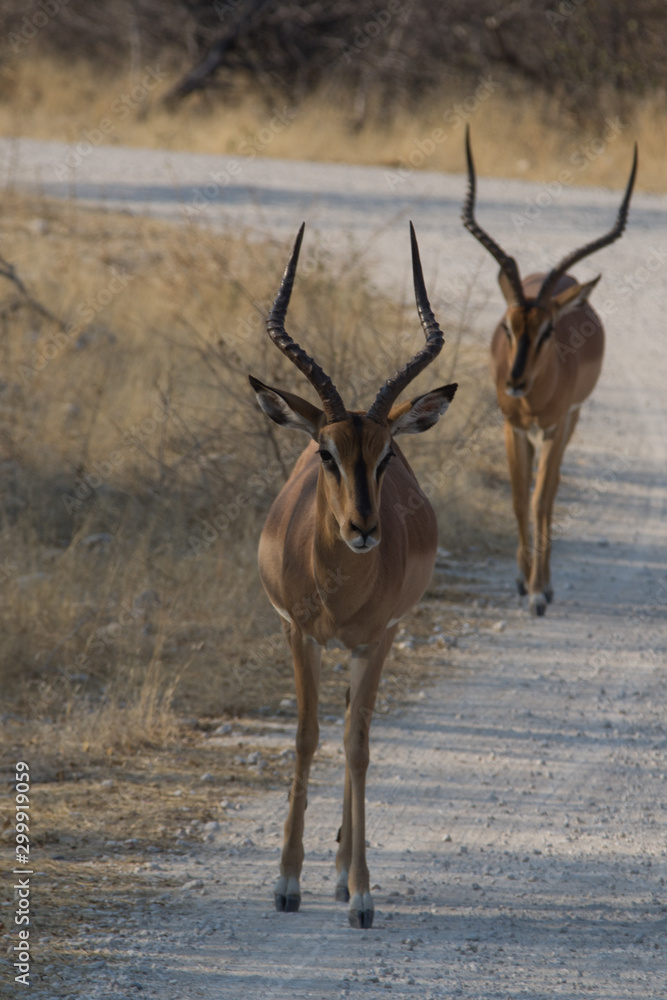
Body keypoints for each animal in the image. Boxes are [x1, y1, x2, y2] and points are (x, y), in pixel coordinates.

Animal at [249, 222, 457, 928]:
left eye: (386, 454)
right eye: (325, 452)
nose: (363, 528)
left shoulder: (379, 637)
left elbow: (358, 745)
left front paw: (363, 895)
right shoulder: (296, 632)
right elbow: (306, 737)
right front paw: (285, 884)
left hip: (371, 645)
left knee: (353, 733)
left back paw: (342, 876)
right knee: (332, 729)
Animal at [462, 127, 637, 615]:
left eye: (548, 330)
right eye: (507, 326)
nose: (515, 381)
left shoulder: (556, 425)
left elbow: (540, 499)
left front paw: (539, 591)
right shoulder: (514, 426)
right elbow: (519, 498)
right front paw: (523, 582)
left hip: (570, 422)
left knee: (553, 489)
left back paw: (550, 584)